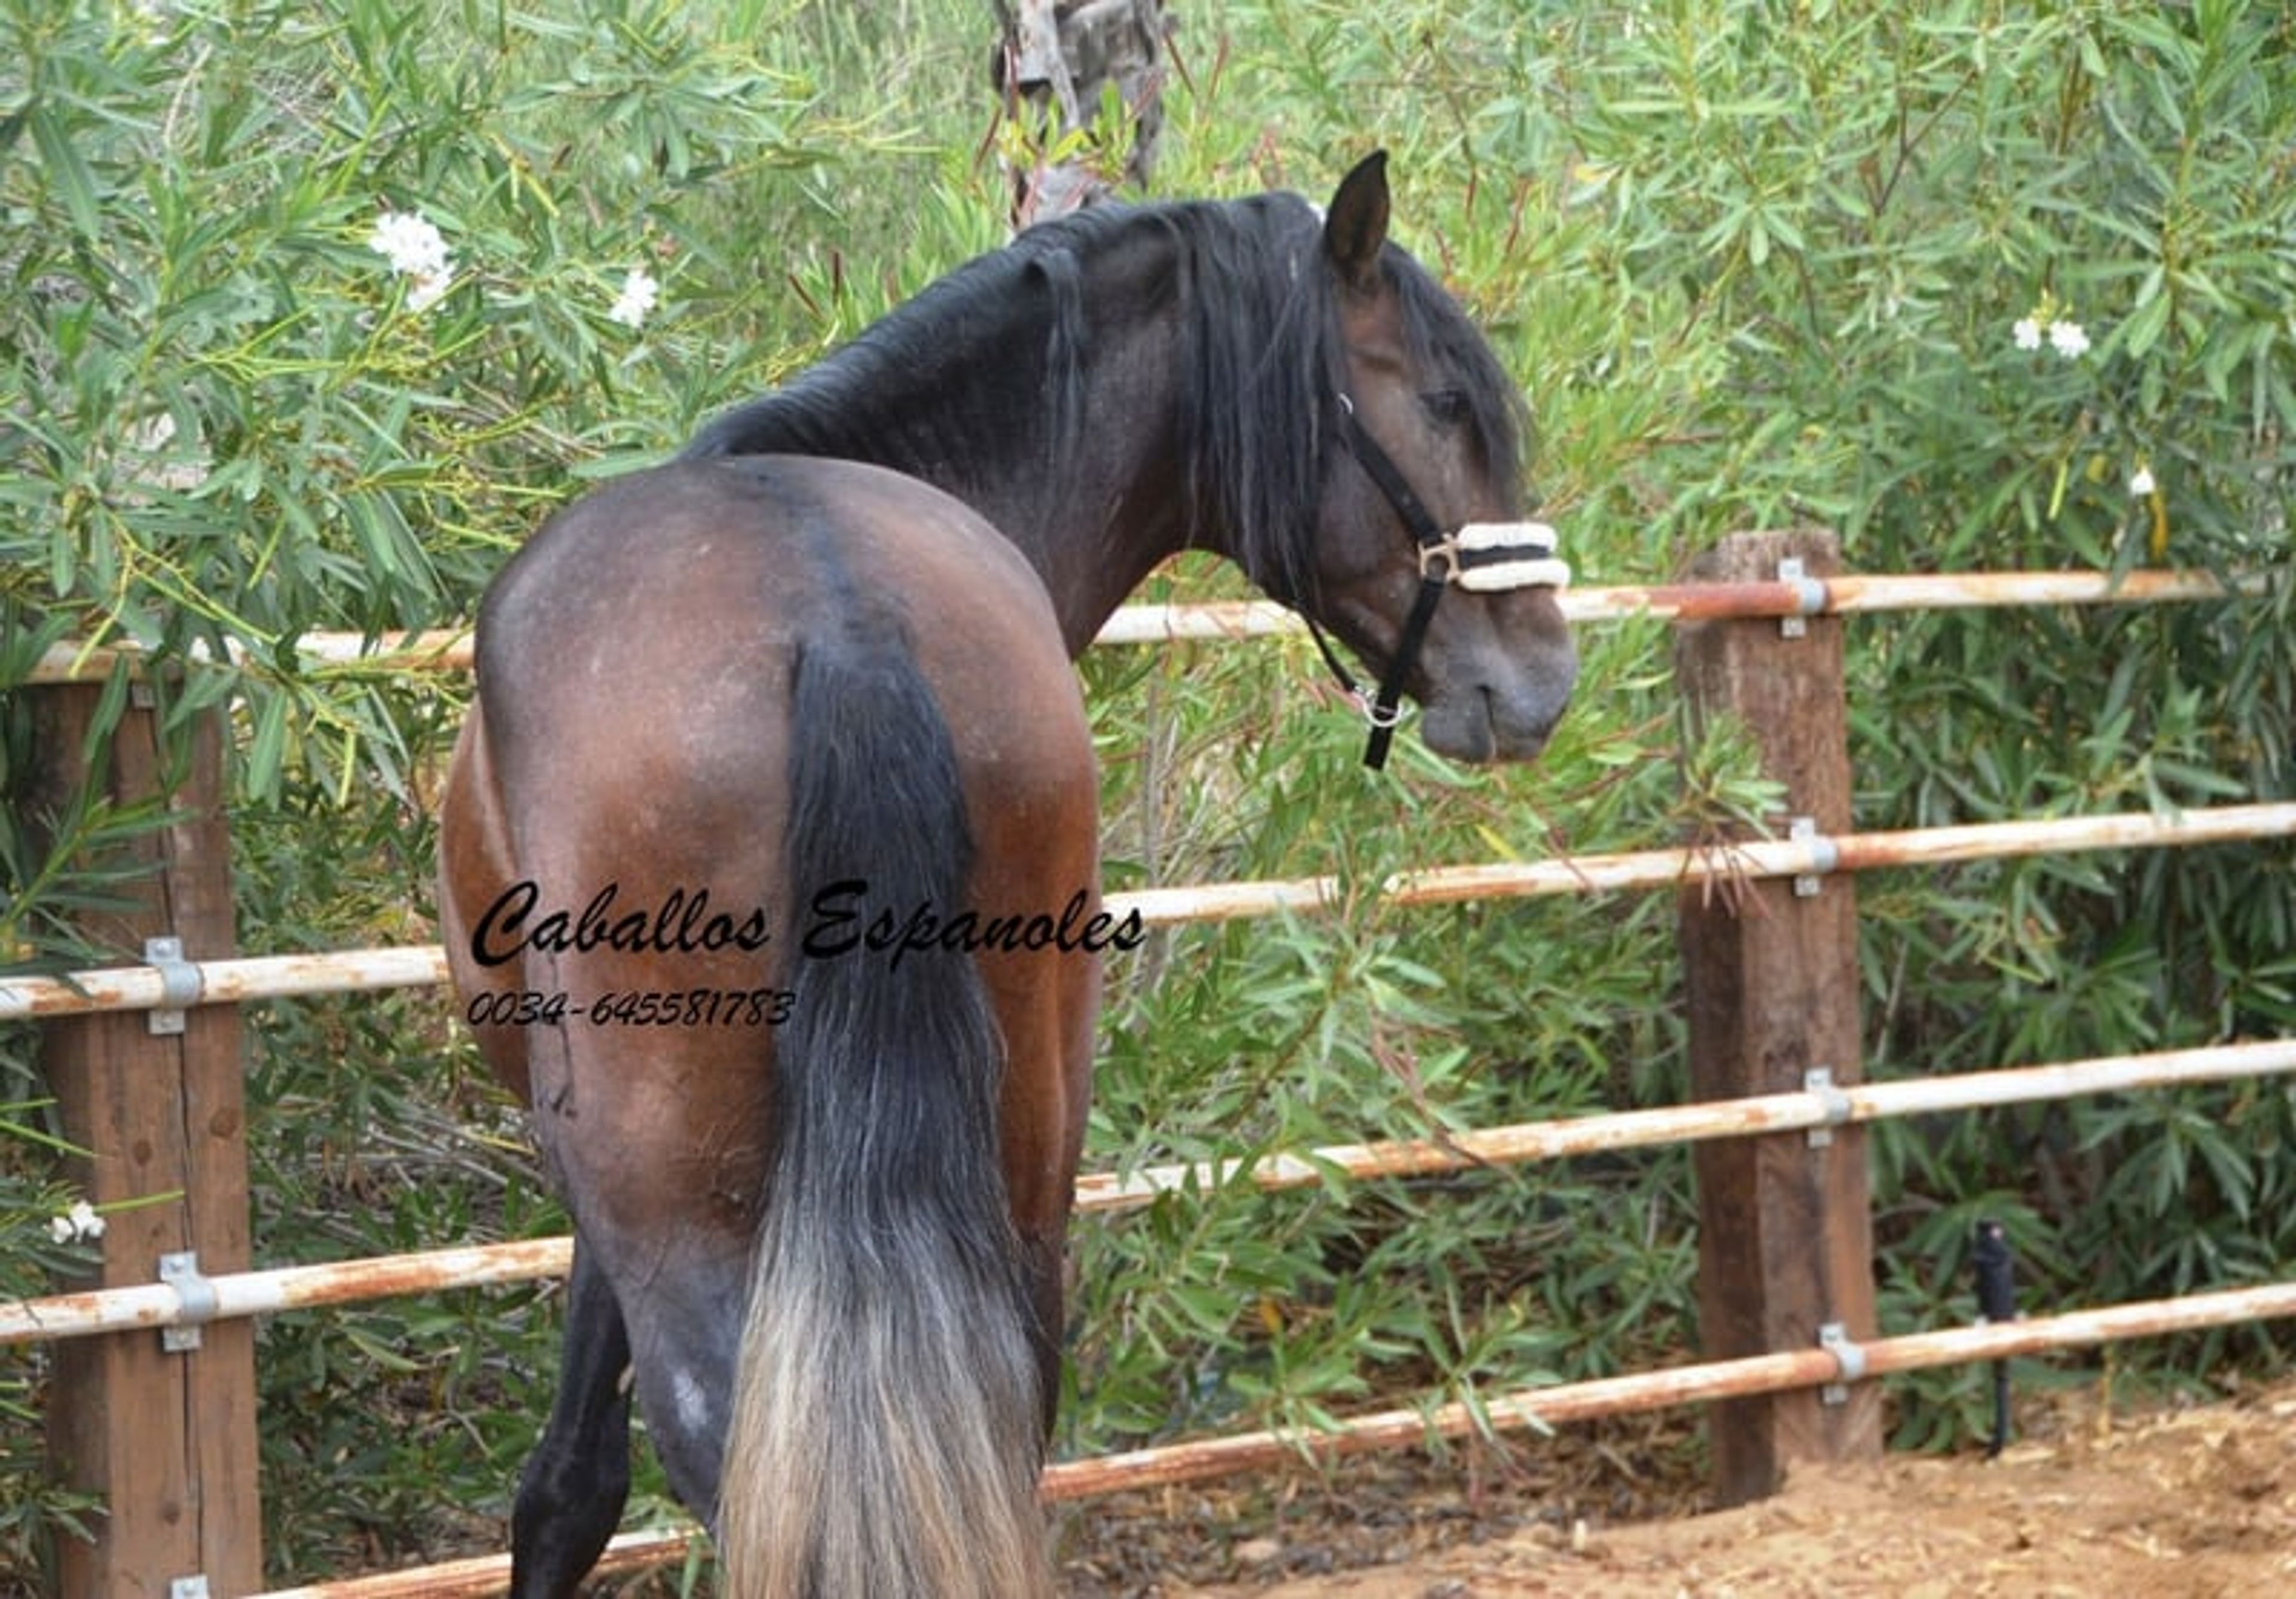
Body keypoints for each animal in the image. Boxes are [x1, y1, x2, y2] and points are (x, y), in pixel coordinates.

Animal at [438, 151, 1576, 1598]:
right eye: (1442, 402)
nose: (1542, 679)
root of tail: (843, 617)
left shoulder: (597, 1186)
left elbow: (570, 1486)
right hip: (1022, 1167)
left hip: (682, 1200)